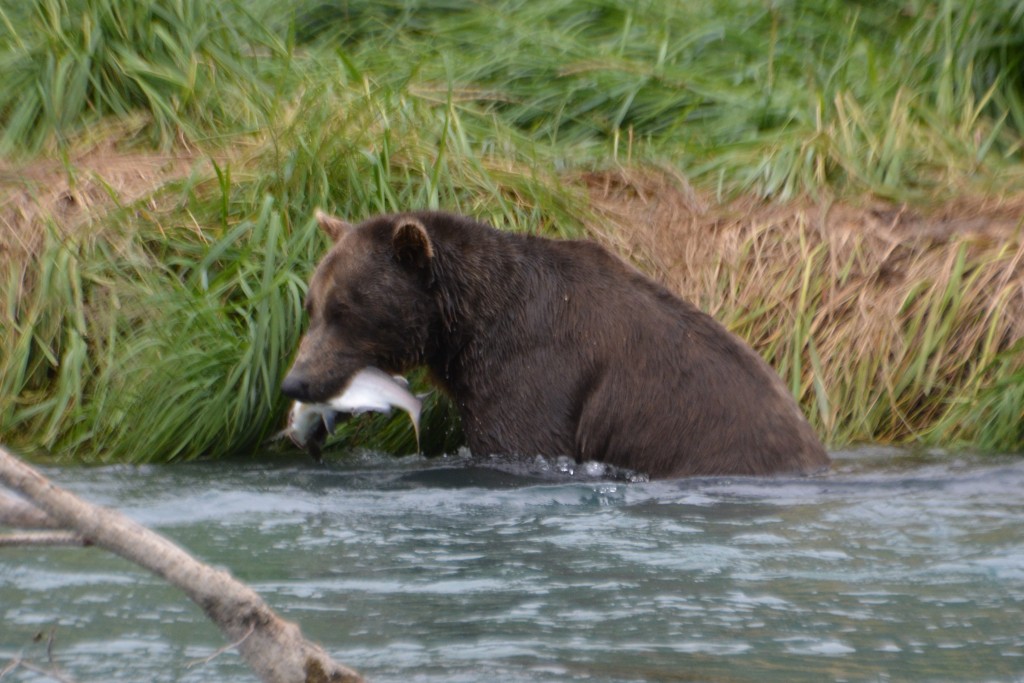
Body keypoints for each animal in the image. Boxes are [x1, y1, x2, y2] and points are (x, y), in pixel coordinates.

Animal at [282, 210, 831, 479]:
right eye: (311, 305)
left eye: (345, 310)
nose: (296, 381)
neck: (468, 328)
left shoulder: (535, 373)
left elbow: (520, 441)